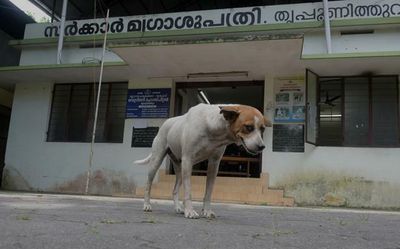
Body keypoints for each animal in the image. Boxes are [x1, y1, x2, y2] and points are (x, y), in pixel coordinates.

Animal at [135, 103, 272, 218]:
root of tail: (166, 123)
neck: (213, 130)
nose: (262, 147)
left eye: (262, 129)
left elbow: (208, 192)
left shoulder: (214, 164)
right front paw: (190, 211)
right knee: (148, 185)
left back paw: (178, 208)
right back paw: (147, 205)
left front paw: (206, 211)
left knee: (175, 189)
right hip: (158, 161)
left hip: (180, 169)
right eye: (248, 127)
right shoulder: (188, 160)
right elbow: (188, 191)